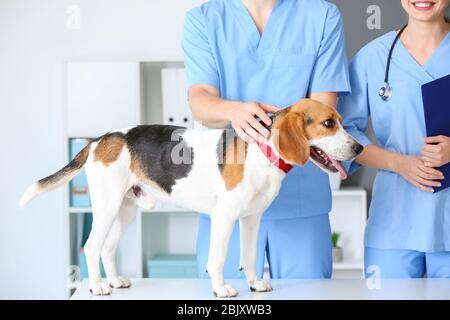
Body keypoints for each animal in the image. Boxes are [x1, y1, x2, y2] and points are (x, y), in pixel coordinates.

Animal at [20, 98, 362, 298]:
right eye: (329, 123)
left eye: (341, 121)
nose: (359, 148)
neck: (262, 149)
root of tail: (98, 140)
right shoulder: (224, 217)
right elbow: (218, 259)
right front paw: (221, 288)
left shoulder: (251, 219)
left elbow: (250, 256)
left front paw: (254, 283)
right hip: (107, 206)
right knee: (91, 247)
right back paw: (97, 286)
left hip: (126, 208)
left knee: (107, 247)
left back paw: (115, 280)